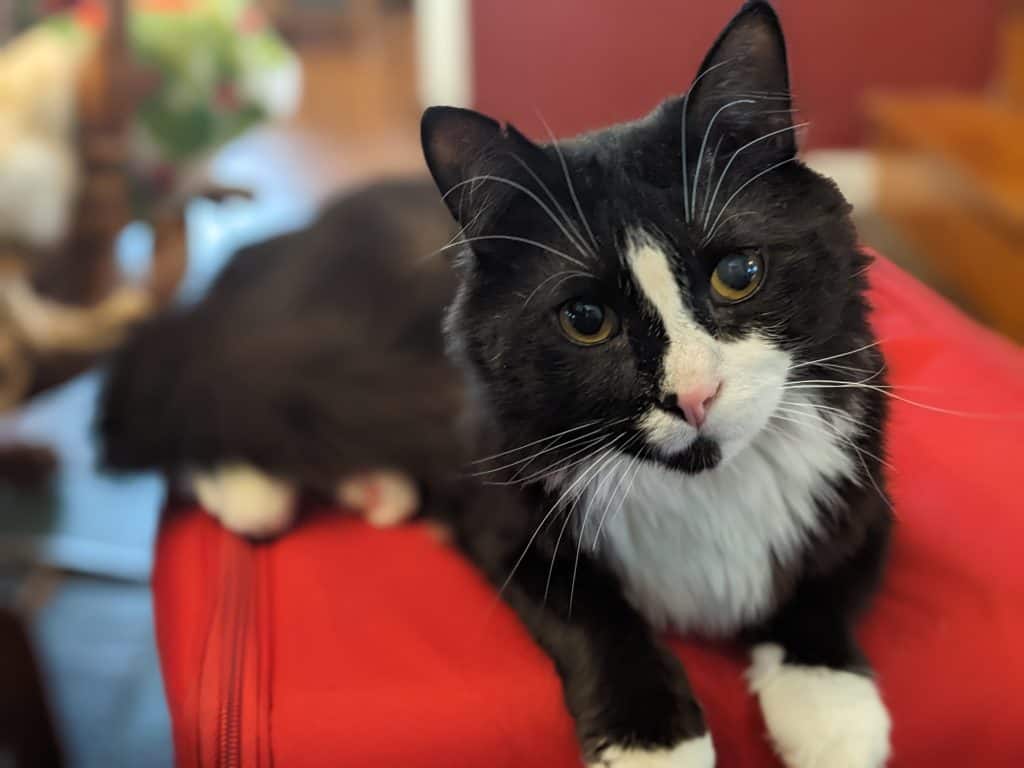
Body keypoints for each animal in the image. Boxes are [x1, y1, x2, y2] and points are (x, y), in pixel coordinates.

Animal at [419, 3, 892, 765]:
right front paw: (654, 739)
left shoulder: (866, 494)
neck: (710, 487)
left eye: (739, 273)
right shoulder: (502, 513)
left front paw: (830, 710)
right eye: (586, 319)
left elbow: (828, 581)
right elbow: (592, 614)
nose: (693, 396)